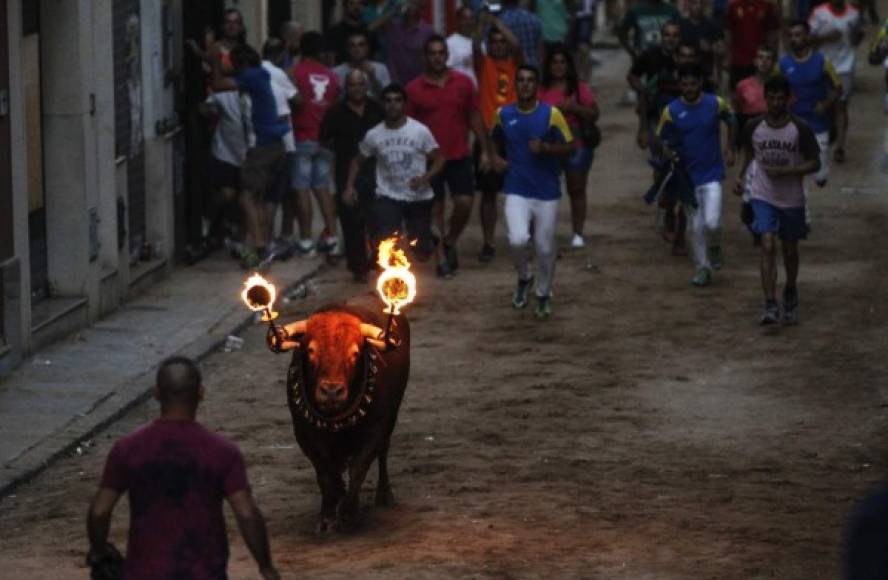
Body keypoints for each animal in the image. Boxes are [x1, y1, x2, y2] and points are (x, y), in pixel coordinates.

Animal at [268, 302, 412, 532]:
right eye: (311, 350)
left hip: (391, 418)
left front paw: (348, 511)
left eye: (355, 353)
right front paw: (327, 517)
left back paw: (385, 496)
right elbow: (326, 475)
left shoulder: (376, 429)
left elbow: (358, 468)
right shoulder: (305, 435)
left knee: (383, 453)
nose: (331, 391)